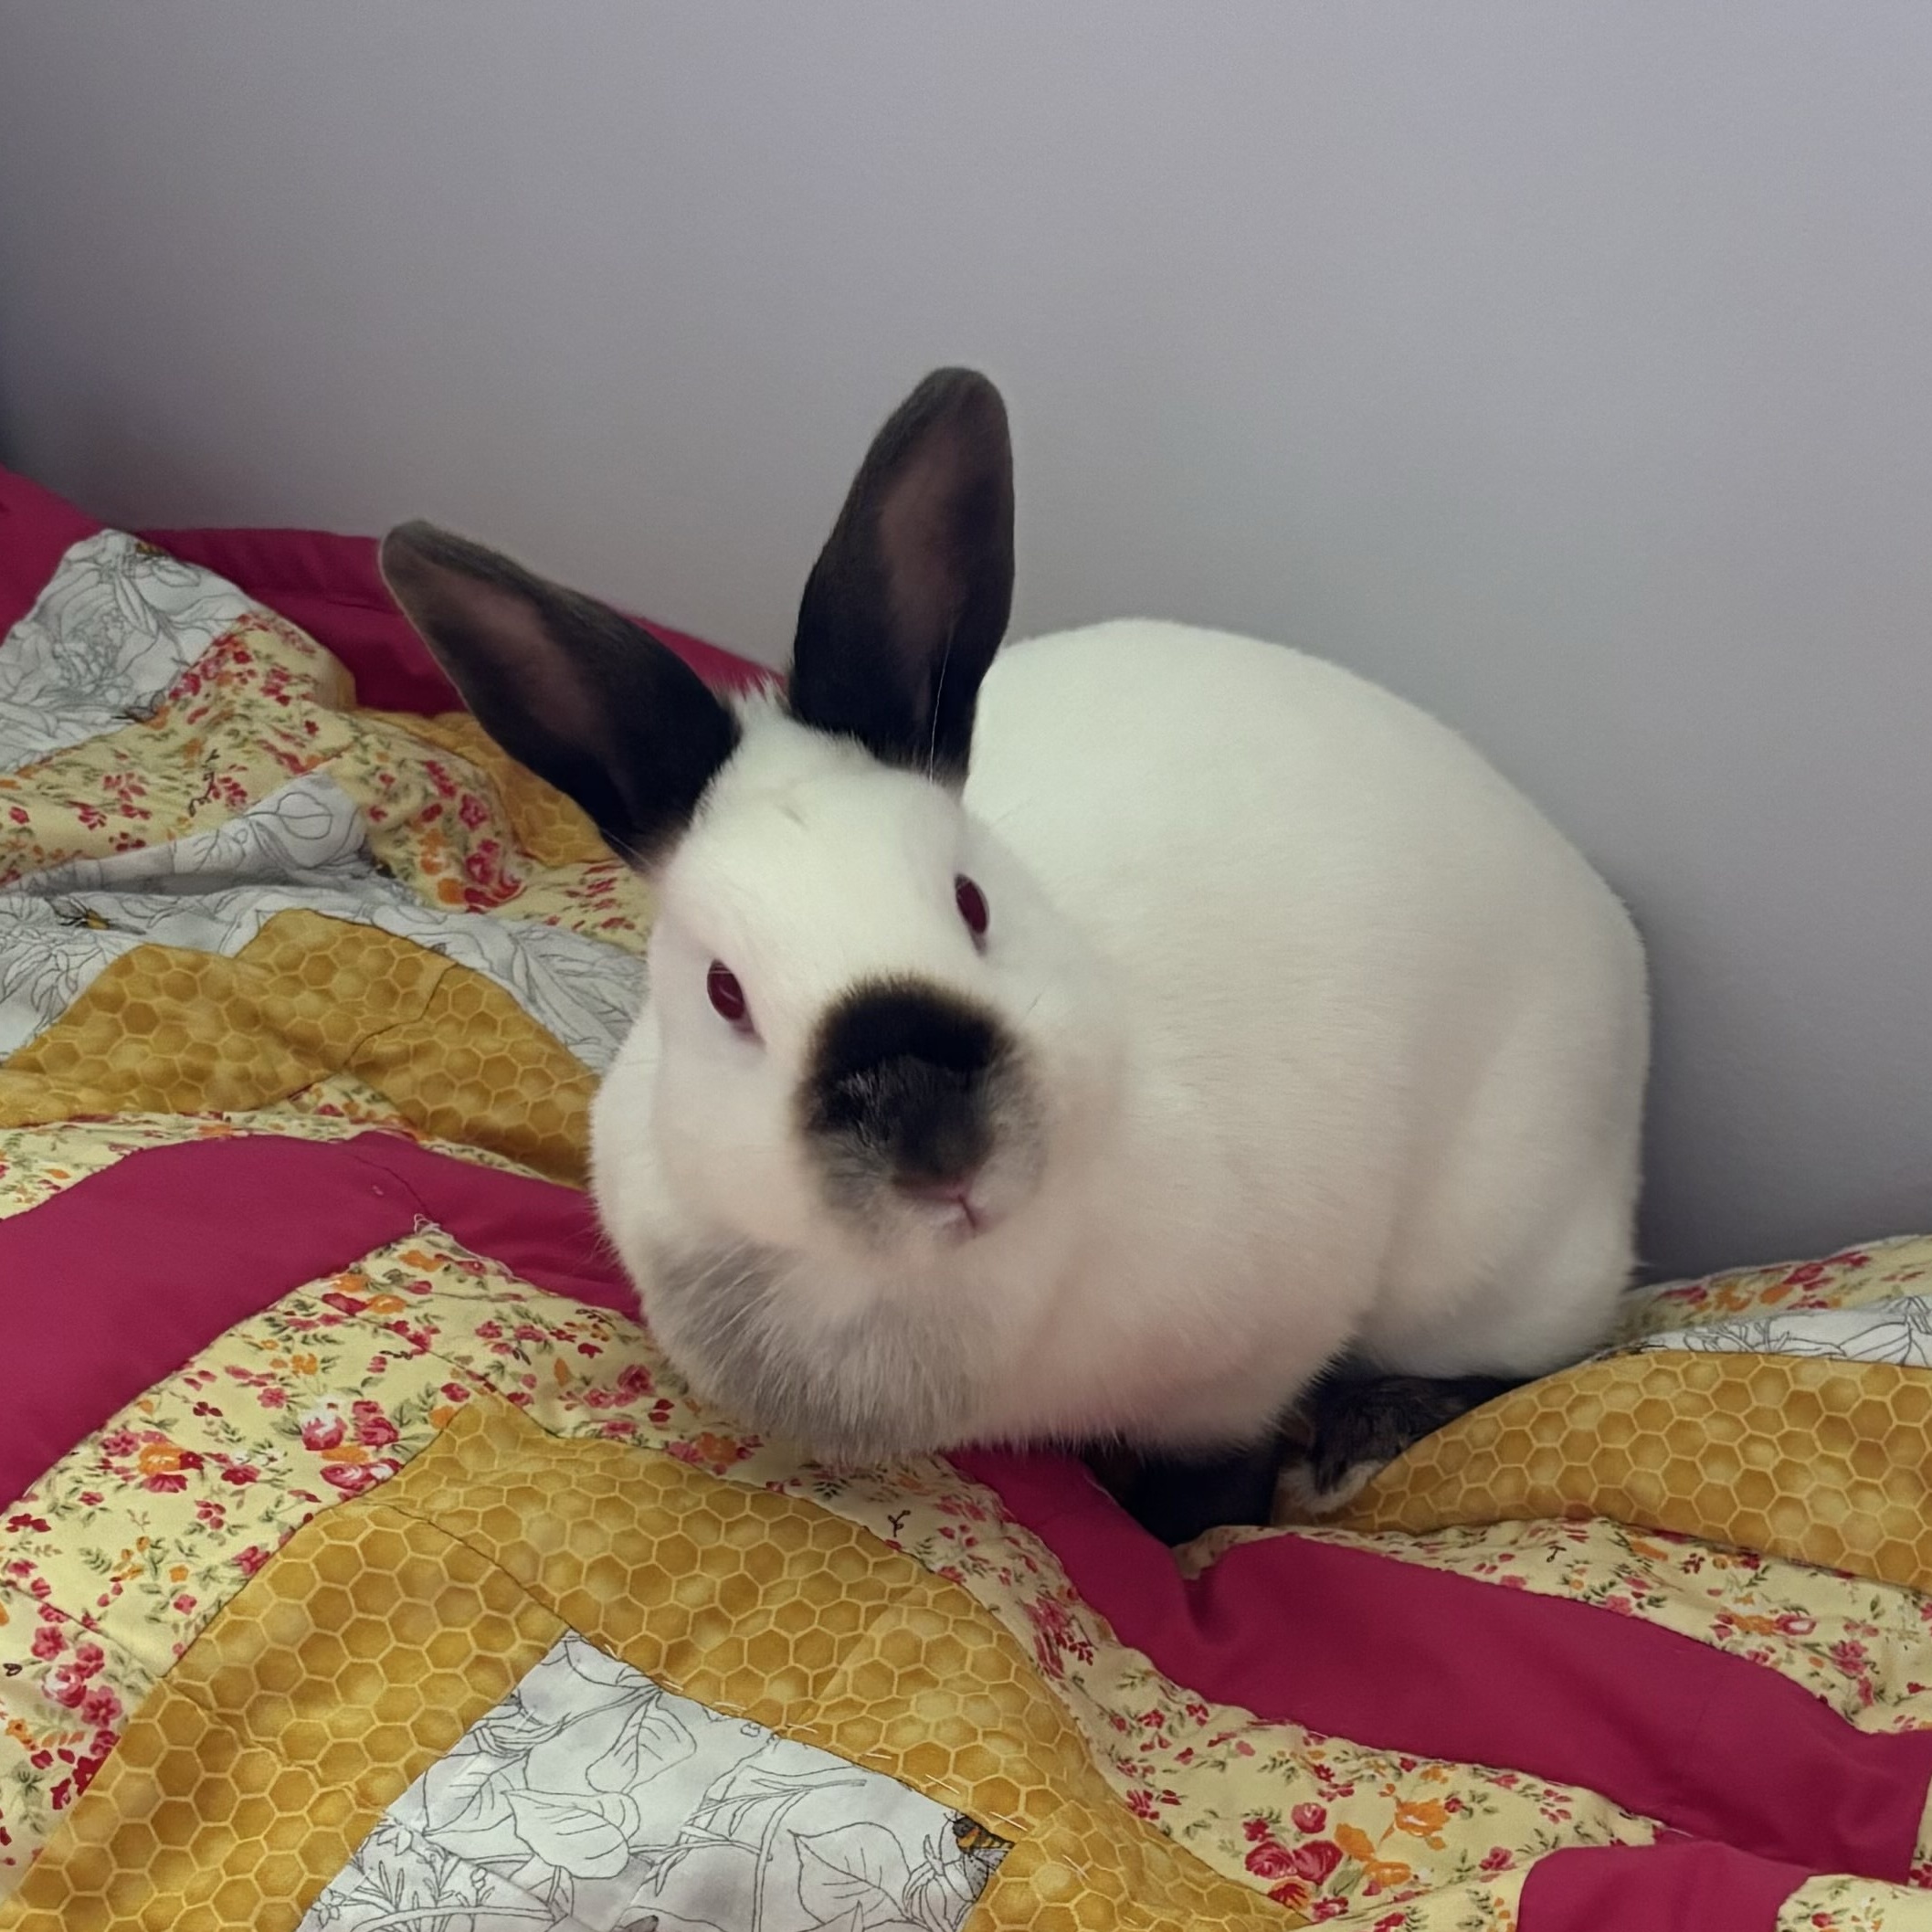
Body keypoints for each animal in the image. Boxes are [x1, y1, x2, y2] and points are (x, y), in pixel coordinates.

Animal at [379, 367, 1648, 1544]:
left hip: (1493, 1264)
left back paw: (1359, 1441)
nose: (939, 1150)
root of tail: (1611, 929)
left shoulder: (1245, 1372)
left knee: (1539, 1359)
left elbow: (1212, 1484)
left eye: (972, 901)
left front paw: (1181, 1541)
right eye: (724, 990)